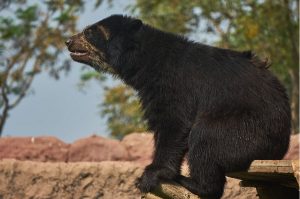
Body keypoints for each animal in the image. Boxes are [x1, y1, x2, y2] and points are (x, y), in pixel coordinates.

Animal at [66, 14, 290, 198]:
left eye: (89, 31)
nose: (68, 41)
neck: (145, 61)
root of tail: (278, 150)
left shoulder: (174, 83)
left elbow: (174, 122)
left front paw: (149, 175)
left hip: (246, 132)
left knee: (205, 137)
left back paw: (192, 182)